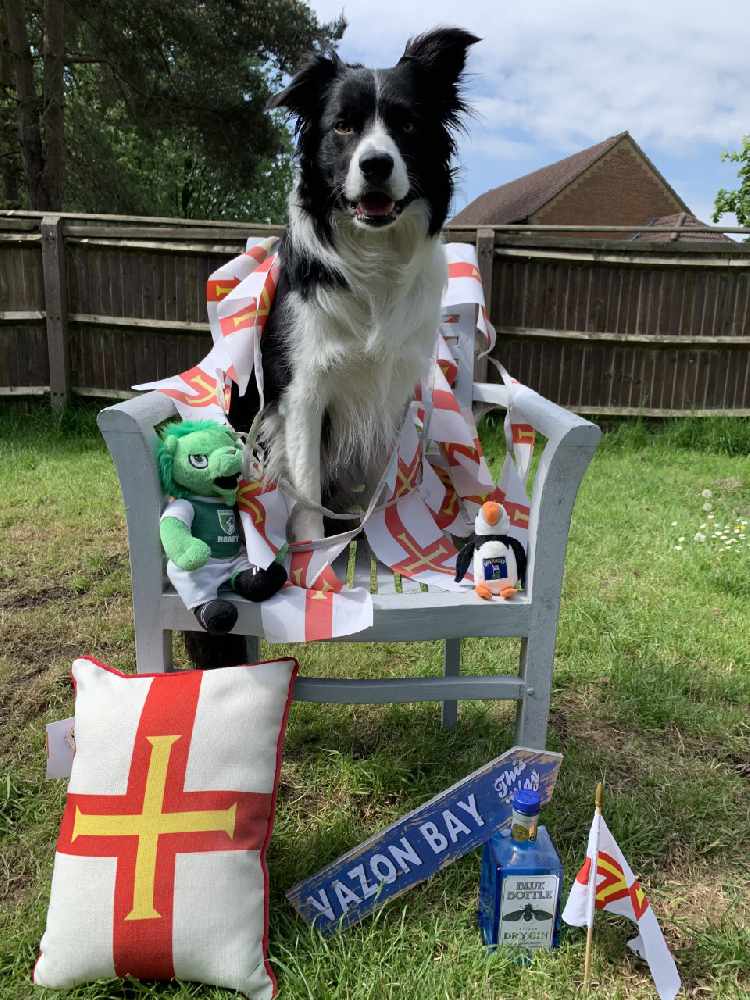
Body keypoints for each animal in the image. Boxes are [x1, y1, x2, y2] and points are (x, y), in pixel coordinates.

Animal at [229, 25, 482, 540]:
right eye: (343, 126)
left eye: (408, 125)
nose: (376, 165)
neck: (373, 258)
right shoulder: (303, 393)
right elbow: (306, 489)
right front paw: (312, 553)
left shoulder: (392, 392)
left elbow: (381, 481)